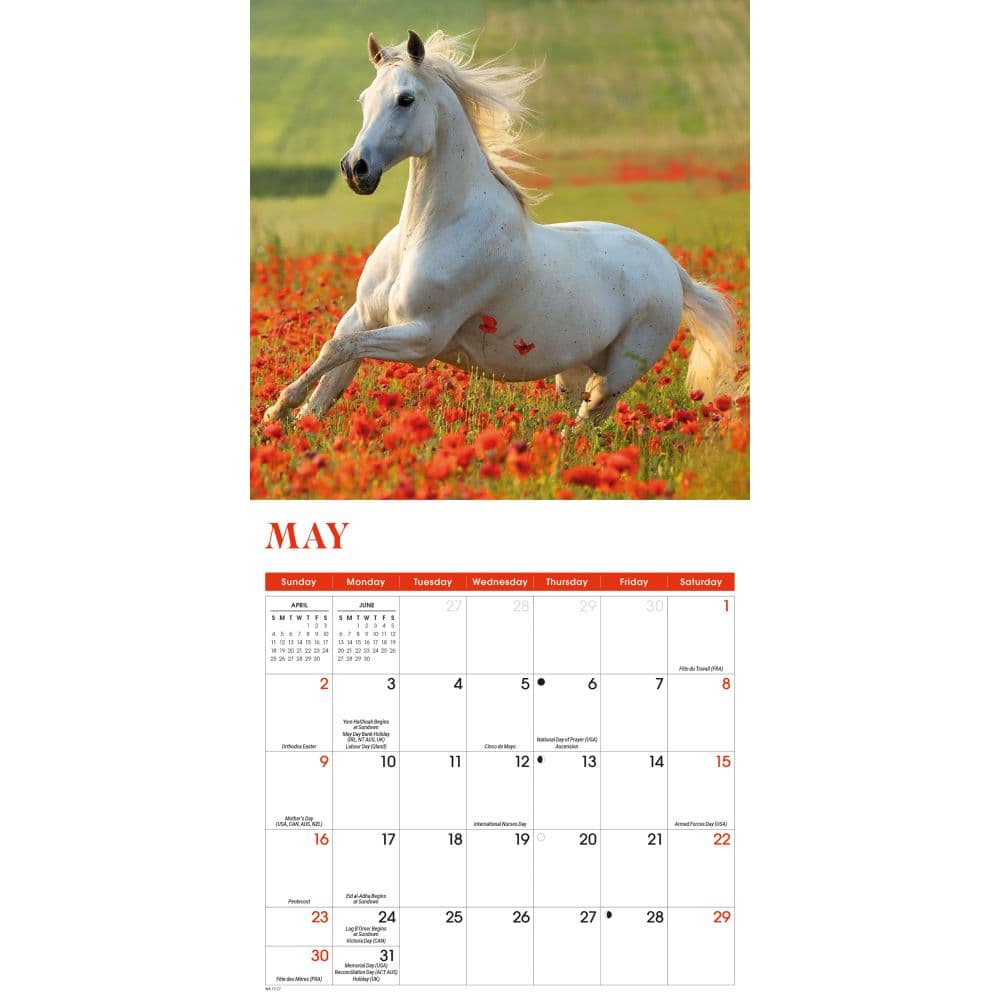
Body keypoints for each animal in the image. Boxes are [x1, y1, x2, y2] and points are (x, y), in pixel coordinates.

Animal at [262, 29, 738, 427]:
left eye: (406, 99)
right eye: (364, 99)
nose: (355, 169)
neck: (426, 233)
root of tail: (673, 270)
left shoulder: (422, 337)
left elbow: (336, 351)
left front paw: (277, 407)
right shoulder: (363, 316)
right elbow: (332, 371)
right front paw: (289, 418)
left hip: (616, 375)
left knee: (588, 424)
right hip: (572, 369)